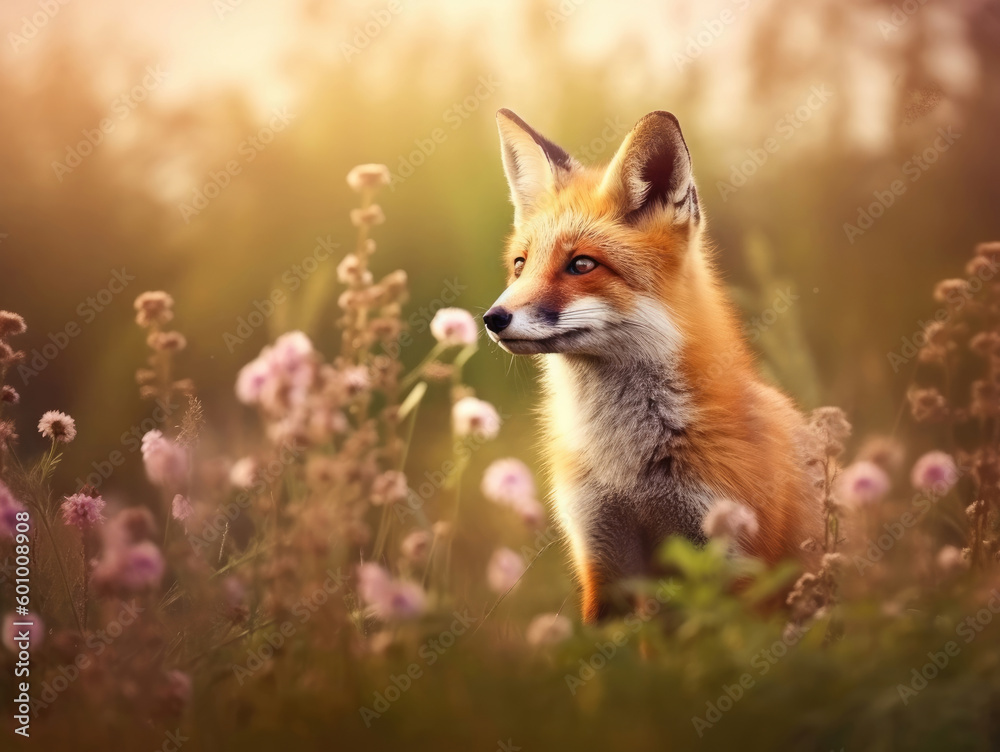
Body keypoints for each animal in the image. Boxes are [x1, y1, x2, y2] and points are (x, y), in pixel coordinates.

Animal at [484, 109, 822, 622]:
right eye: (520, 265)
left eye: (582, 265)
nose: (492, 318)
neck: (629, 469)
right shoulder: (603, 562)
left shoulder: (736, 565)